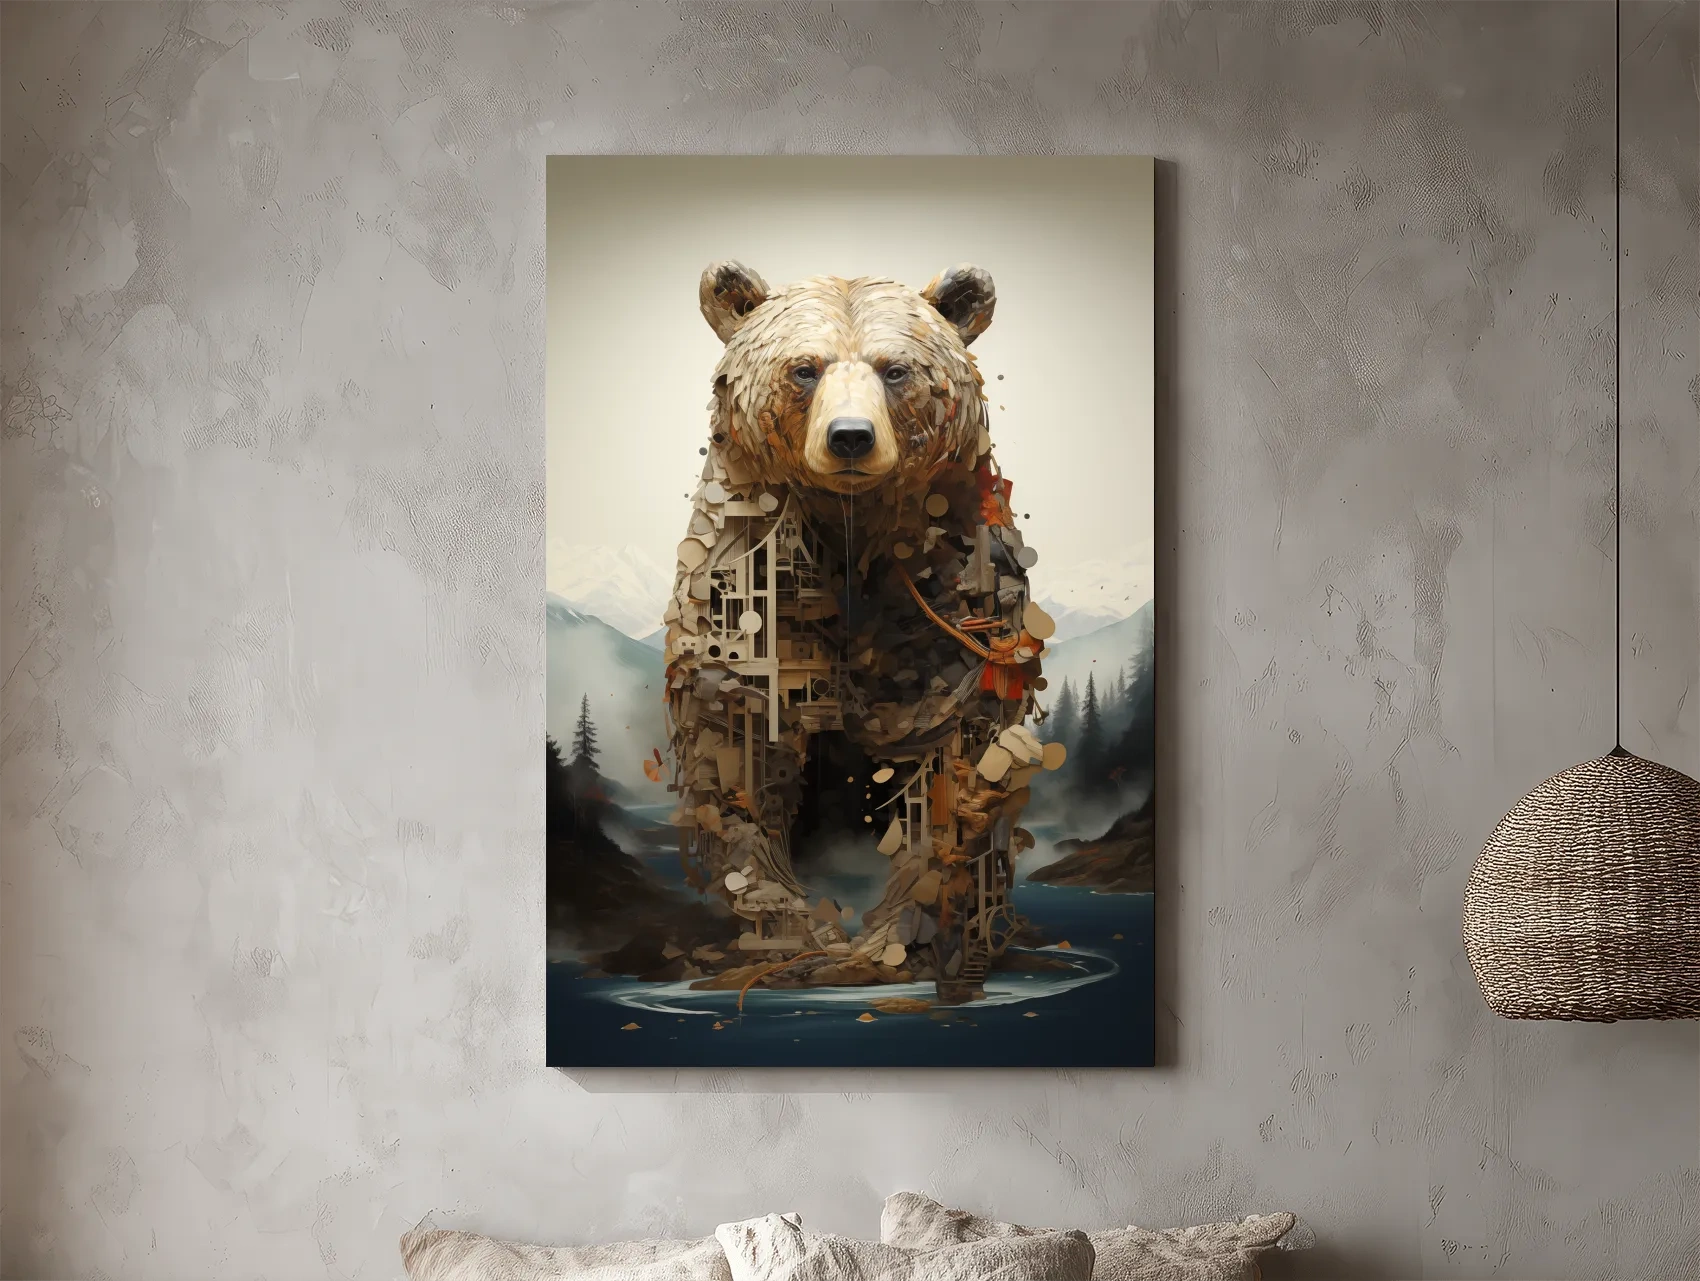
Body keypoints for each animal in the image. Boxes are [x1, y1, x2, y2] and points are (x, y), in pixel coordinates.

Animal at [660, 260, 1065, 1002]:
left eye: (894, 369)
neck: (850, 530)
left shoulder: (947, 604)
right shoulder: (747, 604)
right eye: (805, 368)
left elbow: (942, 769)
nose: (850, 436)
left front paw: (895, 940)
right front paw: (796, 938)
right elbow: (740, 763)